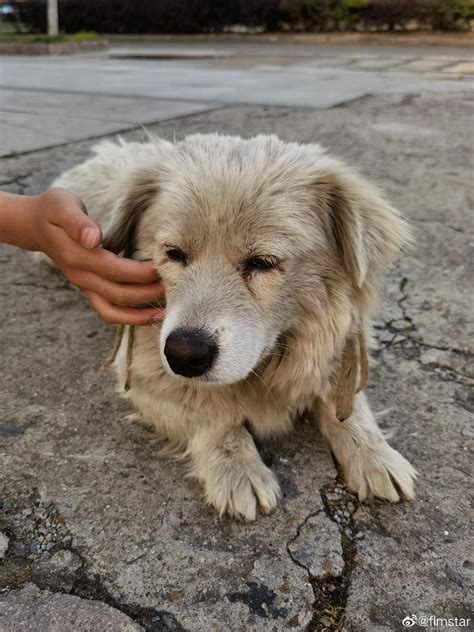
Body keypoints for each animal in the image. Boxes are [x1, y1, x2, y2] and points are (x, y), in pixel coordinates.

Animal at [48, 133, 416, 520]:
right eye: (174, 254)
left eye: (263, 262)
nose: (183, 355)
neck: (268, 365)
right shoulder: (144, 379)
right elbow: (211, 415)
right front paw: (237, 469)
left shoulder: (336, 356)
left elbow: (348, 408)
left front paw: (375, 454)